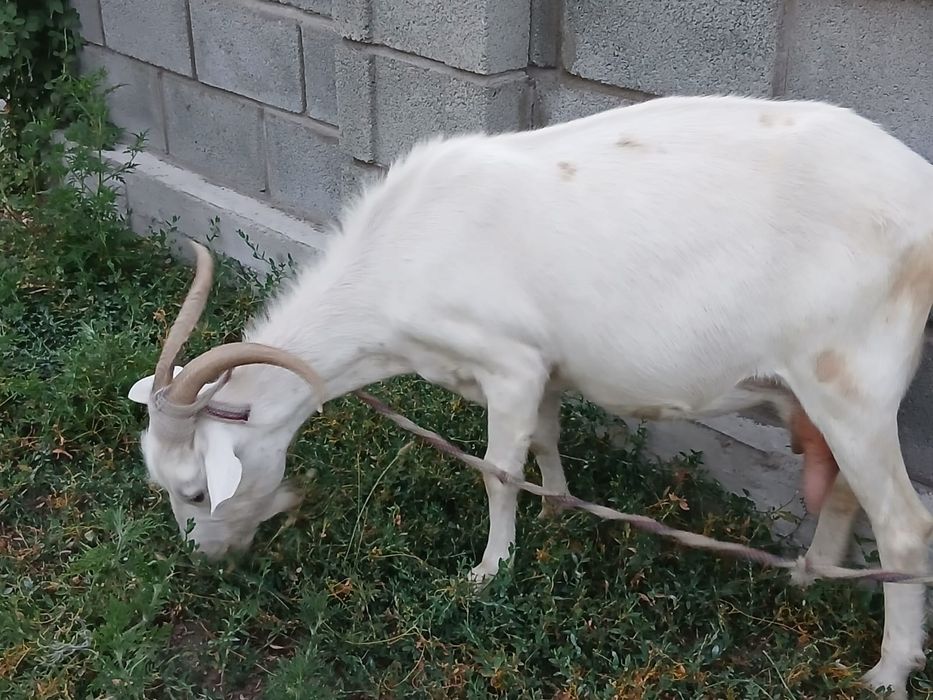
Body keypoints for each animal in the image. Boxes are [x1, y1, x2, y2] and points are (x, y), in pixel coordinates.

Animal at [128, 94, 933, 698]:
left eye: (197, 491)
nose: (205, 560)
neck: (395, 258)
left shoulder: (507, 363)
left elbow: (496, 473)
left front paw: (487, 574)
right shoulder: (543, 365)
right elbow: (544, 438)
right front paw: (556, 510)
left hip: (850, 376)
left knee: (902, 525)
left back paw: (886, 672)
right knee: (843, 490)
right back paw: (811, 580)